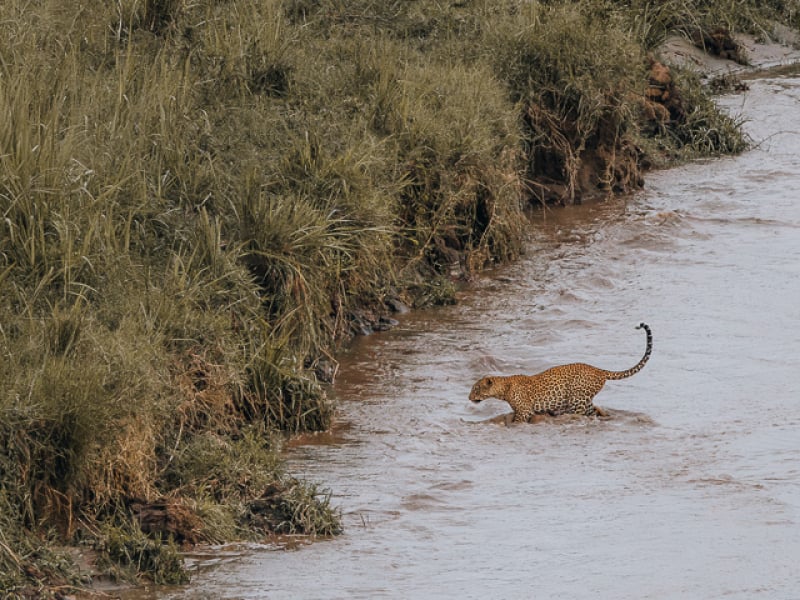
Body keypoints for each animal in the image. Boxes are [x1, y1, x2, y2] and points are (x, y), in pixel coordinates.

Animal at [468, 324, 648, 422]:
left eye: (476, 388)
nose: (469, 398)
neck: (504, 389)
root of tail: (599, 370)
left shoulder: (524, 411)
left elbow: (516, 423)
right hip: (584, 400)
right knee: (594, 410)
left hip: (577, 399)